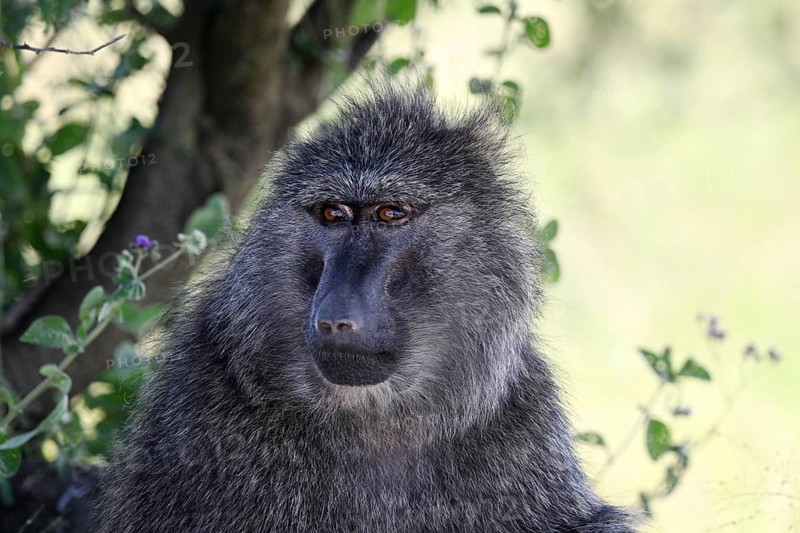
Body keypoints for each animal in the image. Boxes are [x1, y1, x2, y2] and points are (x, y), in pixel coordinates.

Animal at [92, 81, 637, 533]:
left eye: (391, 213)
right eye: (333, 213)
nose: (336, 315)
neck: (374, 417)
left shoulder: (521, 407)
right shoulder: (201, 394)